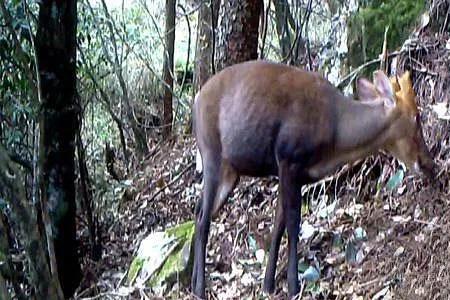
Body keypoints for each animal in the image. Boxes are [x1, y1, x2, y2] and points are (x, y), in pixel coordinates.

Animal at [191, 60, 436, 298]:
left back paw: (192, 282)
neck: (336, 133)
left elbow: (278, 225)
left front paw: (268, 285)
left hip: (230, 172)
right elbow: (292, 224)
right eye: (417, 117)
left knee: (200, 213)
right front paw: (293, 286)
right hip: (211, 152)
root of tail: (196, 100)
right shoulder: (289, 159)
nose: (429, 164)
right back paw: (200, 289)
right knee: (203, 220)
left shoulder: (293, 174)